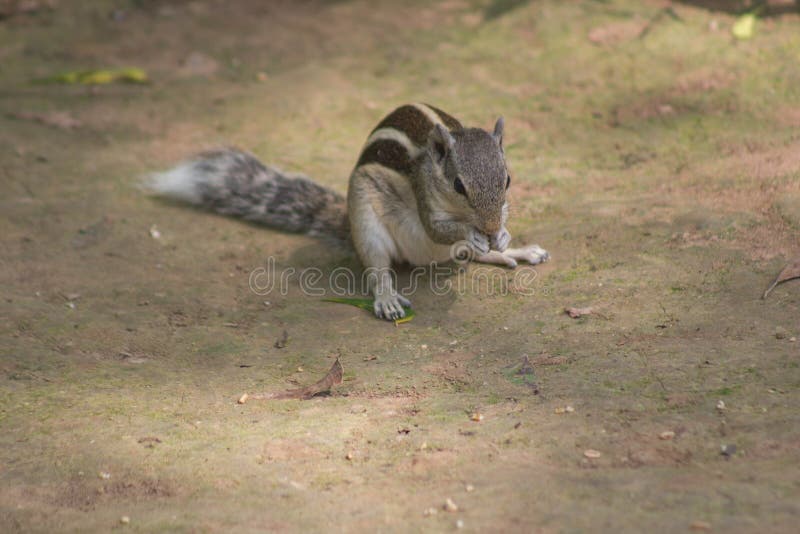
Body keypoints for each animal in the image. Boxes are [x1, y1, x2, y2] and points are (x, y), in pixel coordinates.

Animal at [147, 103, 549, 320]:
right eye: (458, 186)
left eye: (508, 179)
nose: (490, 227)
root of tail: (421, 258)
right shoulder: (426, 199)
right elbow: (438, 227)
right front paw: (475, 234)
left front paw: (504, 237)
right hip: (366, 220)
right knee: (379, 268)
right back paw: (387, 298)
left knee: (466, 258)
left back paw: (511, 252)